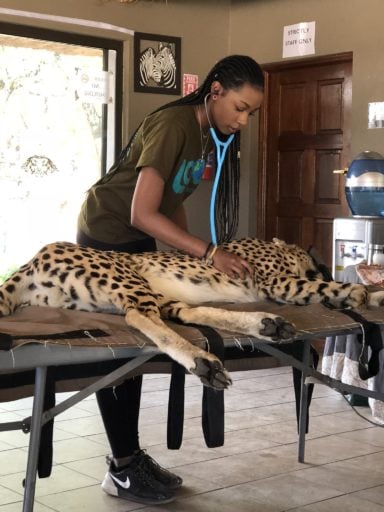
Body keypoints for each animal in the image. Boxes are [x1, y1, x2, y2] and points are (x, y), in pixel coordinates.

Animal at [0, 238, 384, 390]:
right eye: (316, 262)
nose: (321, 266)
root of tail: (33, 260)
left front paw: (374, 293)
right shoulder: (279, 284)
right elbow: (323, 289)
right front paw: (356, 291)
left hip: (144, 292)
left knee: (184, 312)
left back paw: (265, 324)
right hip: (128, 277)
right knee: (139, 317)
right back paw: (204, 362)